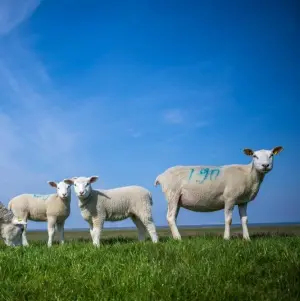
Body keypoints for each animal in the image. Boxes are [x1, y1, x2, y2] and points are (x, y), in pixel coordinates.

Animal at [155, 144, 284, 240]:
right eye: (254, 156)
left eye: (271, 155)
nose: (265, 165)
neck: (249, 175)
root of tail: (161, 176)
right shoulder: (230, 197)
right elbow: (228, 219)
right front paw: (226, 238)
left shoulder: (243, 201)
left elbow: (244, 220)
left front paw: (247, 239)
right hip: (173, 194)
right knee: (170, 217)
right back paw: (178, 238)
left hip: (177, 199)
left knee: (172, 217)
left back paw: (175, 237)